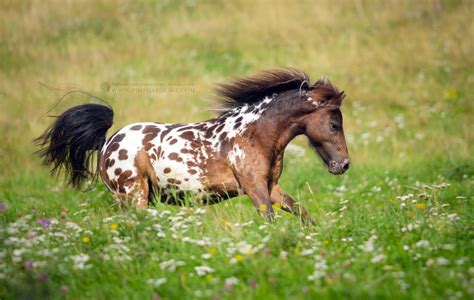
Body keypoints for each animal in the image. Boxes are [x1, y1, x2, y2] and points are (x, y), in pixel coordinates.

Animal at [36, 69, 348, 221]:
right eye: (335, 124)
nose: (343, 165)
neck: (255, 134)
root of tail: (107, 143)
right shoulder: (254, 187)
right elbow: (270, 220)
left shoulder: (271, 187)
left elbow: (301, 213)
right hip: (134, 194)